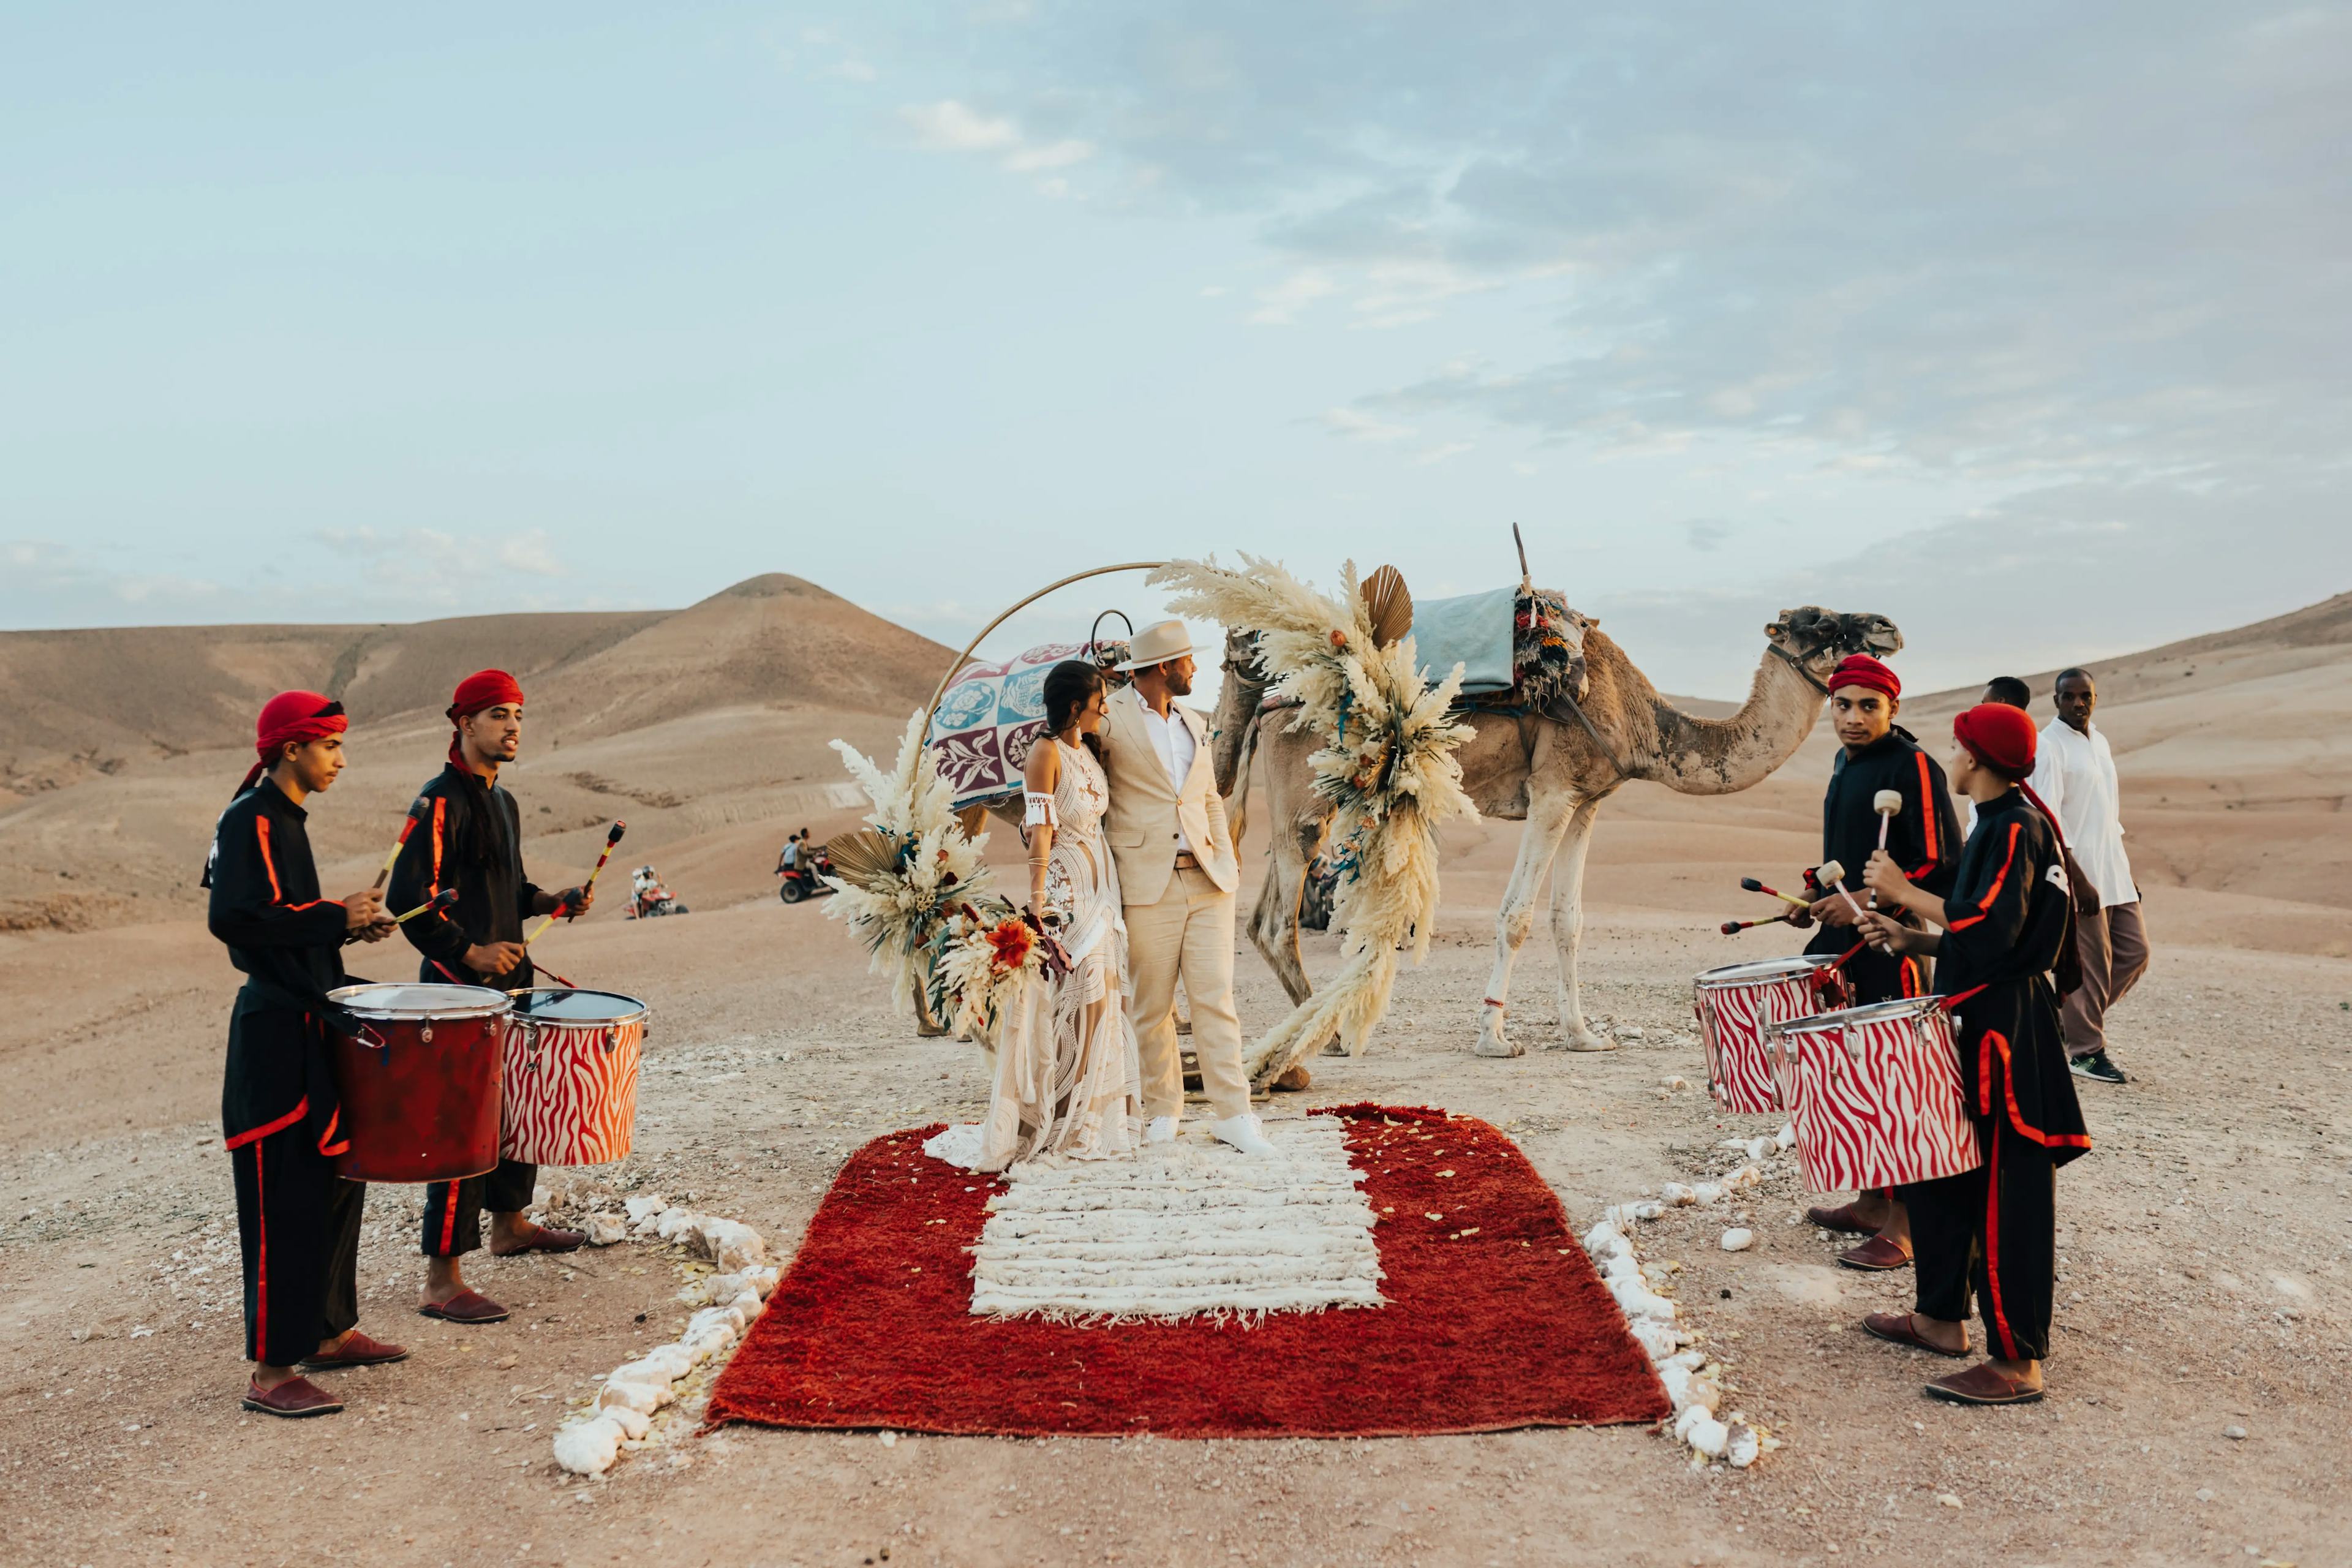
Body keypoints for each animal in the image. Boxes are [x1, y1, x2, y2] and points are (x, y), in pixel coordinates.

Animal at [1204, 606, 1900, 1062]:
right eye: (1824, 624)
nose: (1888, 627)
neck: (1644, 720)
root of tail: (1270, 697)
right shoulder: (1552, 792)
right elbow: (1515, 915)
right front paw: (1493, 1038)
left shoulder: (1587, 802)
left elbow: (1569, 921)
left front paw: (1584, 1035)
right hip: (1310, 796)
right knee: (1277, 921)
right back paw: (1330, 1037)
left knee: (1260, 915)